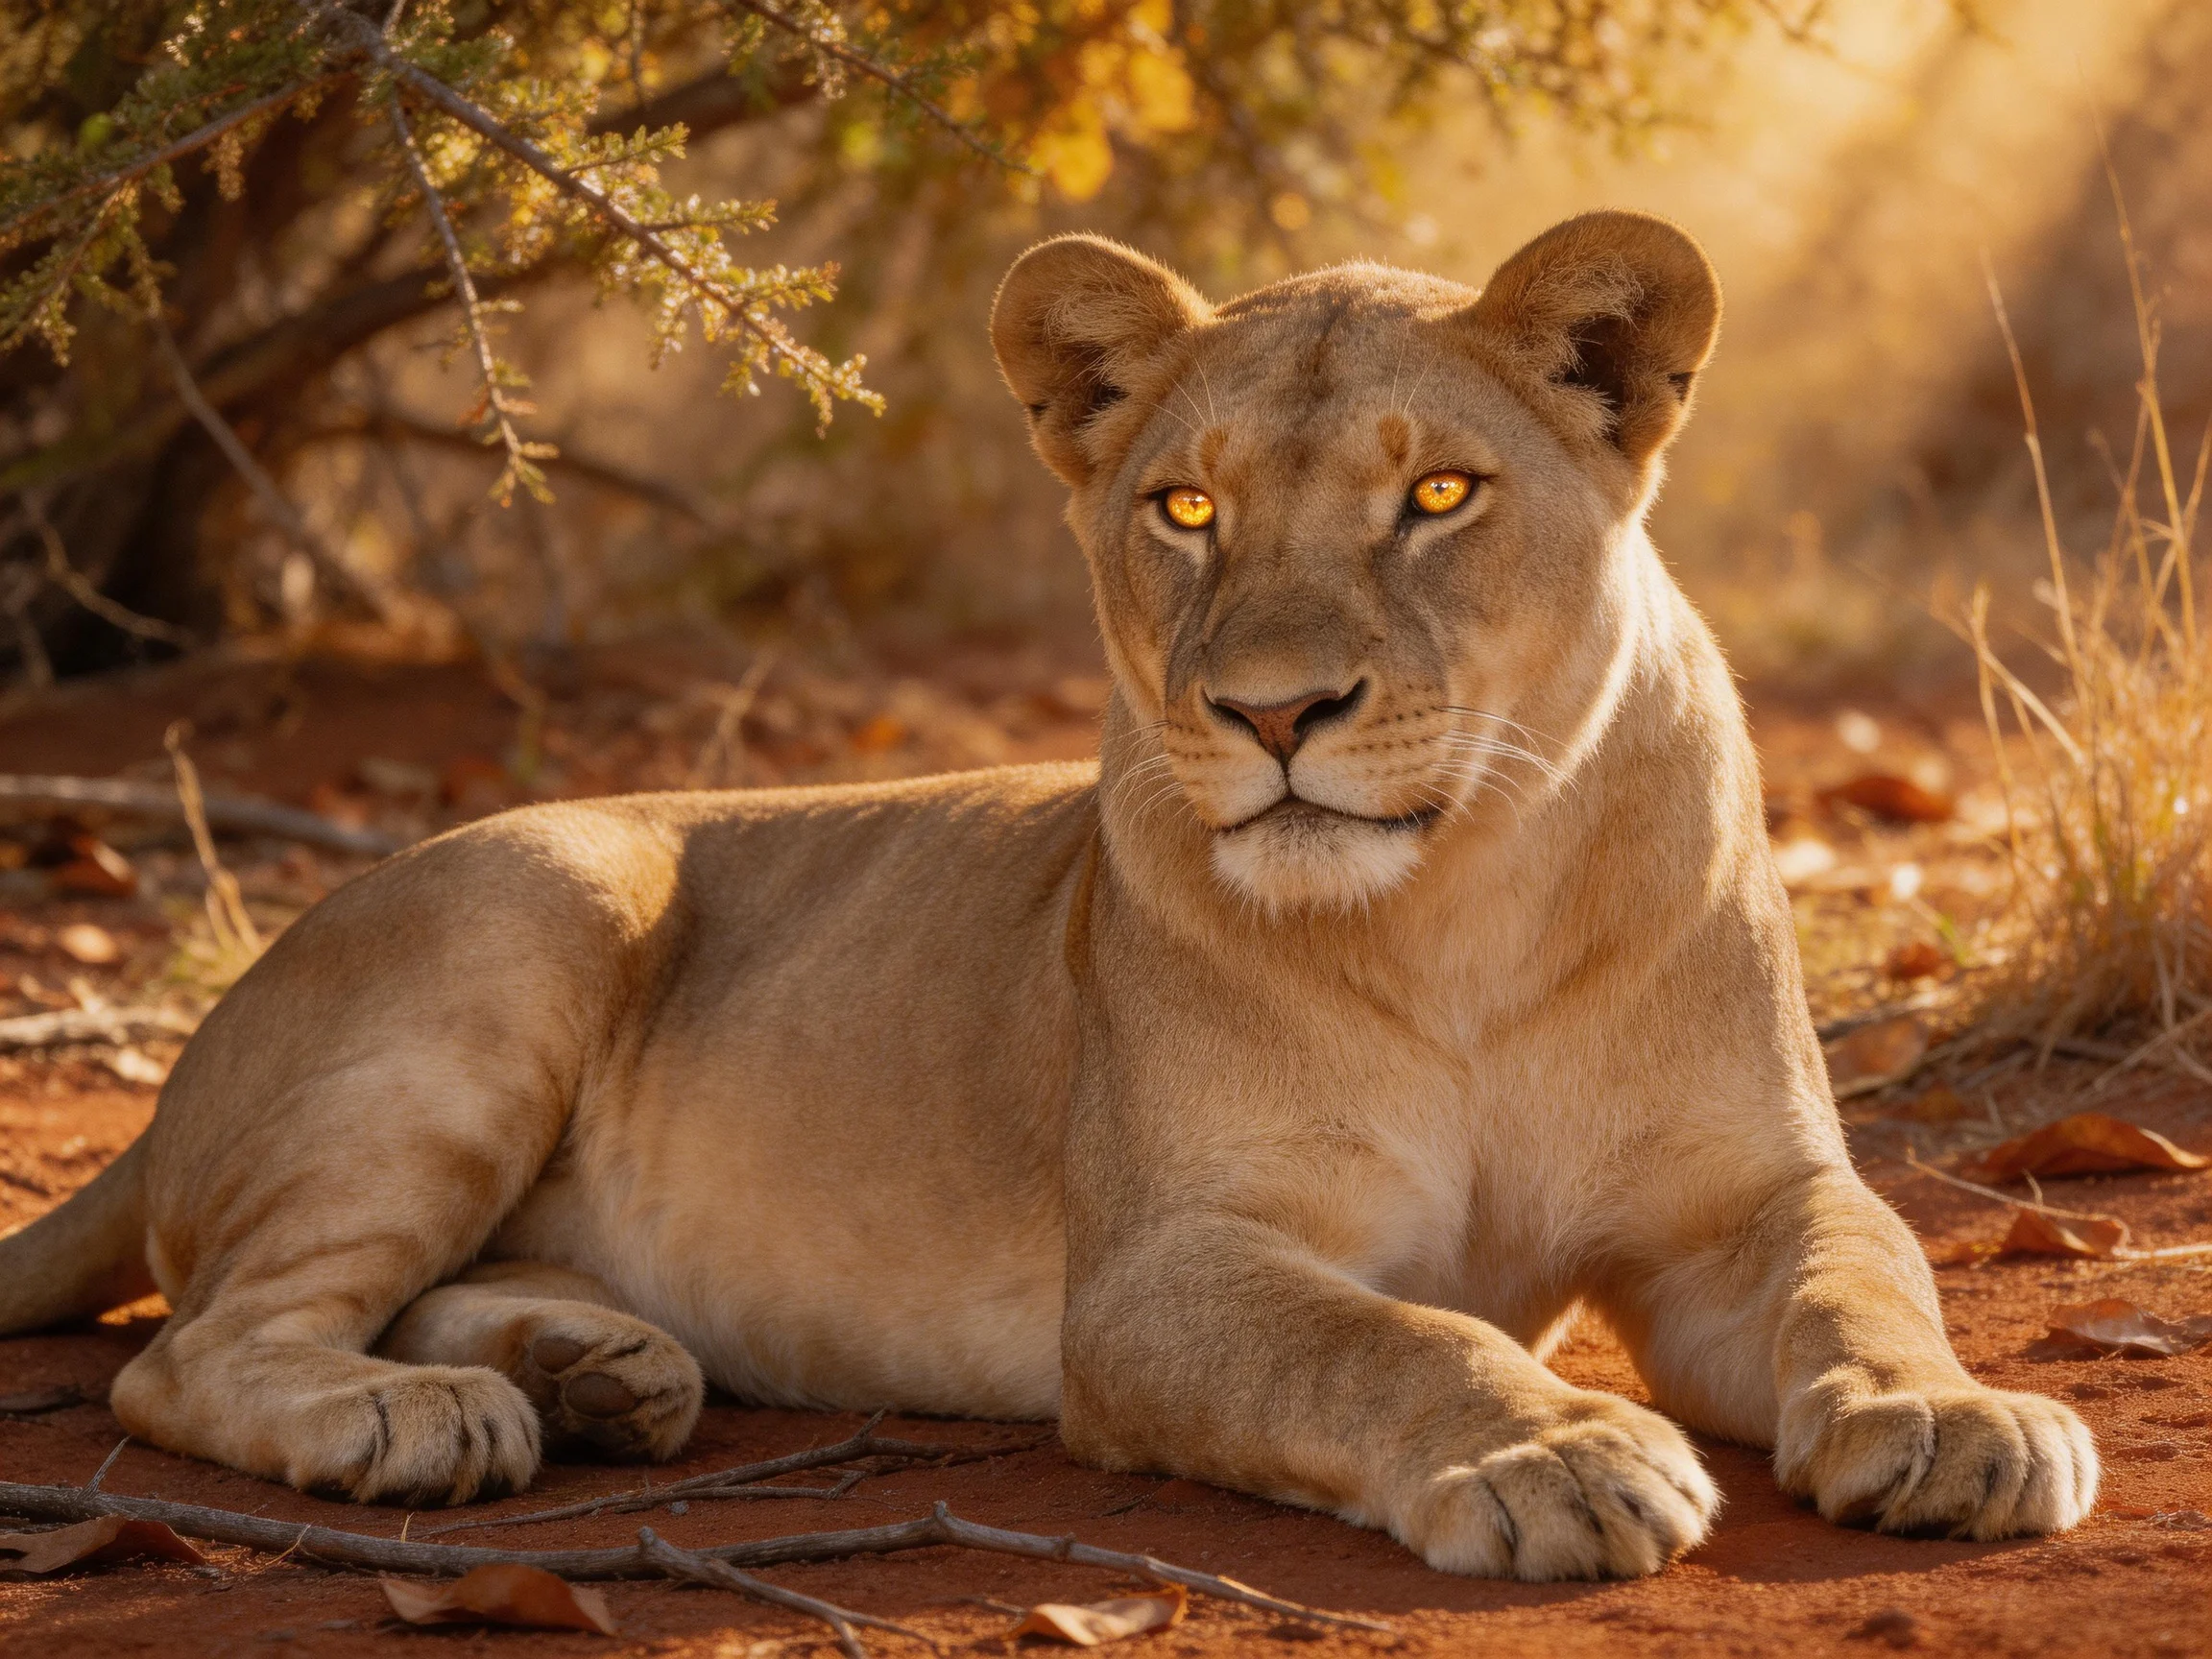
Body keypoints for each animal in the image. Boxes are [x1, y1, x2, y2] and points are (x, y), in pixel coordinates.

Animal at [0, 211, 2095, 1580]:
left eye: (1436, 498)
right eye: (1185, 508)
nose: (1272, 712)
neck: (1460, 913)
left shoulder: (1740, 1196)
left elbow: (1864, 1268)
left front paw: (1956, 1421)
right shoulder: (1163, 1273)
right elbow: (1393, 1337)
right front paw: (1562, 1446)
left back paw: (596, 1371)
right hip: (523, 913)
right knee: (189, 1351)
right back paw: (425, 1420)